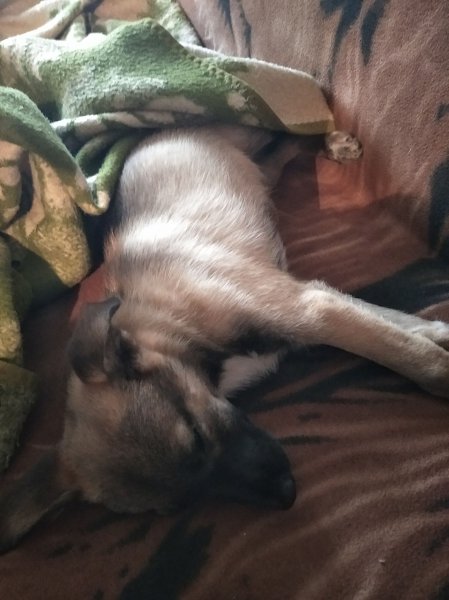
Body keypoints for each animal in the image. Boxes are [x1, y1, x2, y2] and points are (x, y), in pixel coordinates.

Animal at [1, 125, 449, 553]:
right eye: (175, 507)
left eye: (196, 436)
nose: (287, 494)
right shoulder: (310, 305)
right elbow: (387, 325)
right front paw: (434, 332)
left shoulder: (305, 309)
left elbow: (401, 350)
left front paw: (437, 363)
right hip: (256, 171)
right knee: (280, 153)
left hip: (244, 135)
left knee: (285, 134)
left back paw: (334, 142)